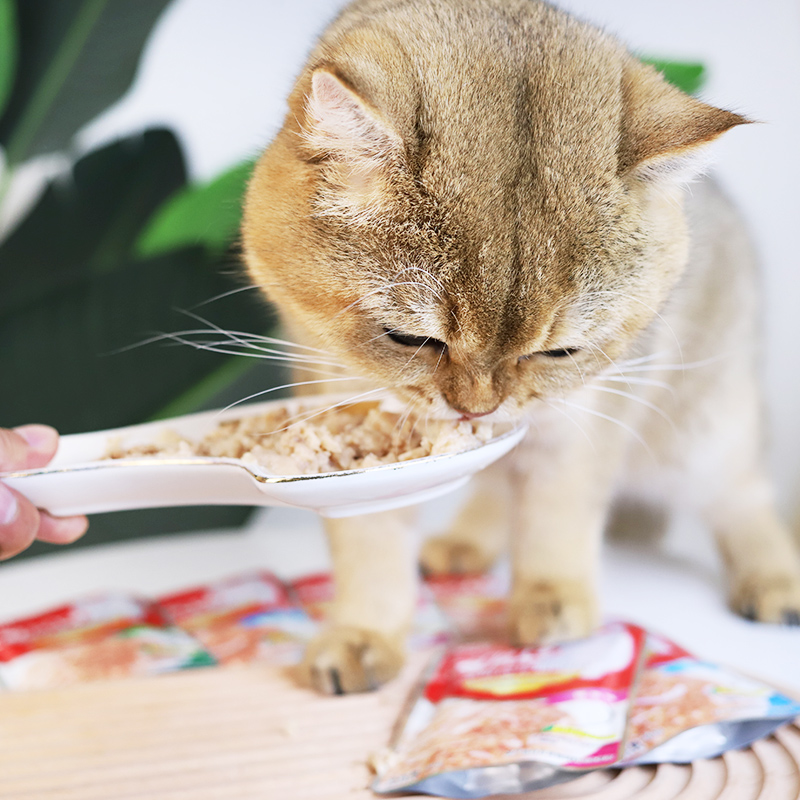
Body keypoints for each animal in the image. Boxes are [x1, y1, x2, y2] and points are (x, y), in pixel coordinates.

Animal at [239, 0, 800, 692]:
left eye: (560, 353)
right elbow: (371, 548)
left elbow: (557, 513)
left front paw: (553, 599)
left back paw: (772, 579)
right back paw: (466, 543)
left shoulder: (586, 416)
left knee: (743, 493)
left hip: (704, 429)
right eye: (410, 338)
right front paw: (364, 634)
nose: (478, 408)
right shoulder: (349, 415)